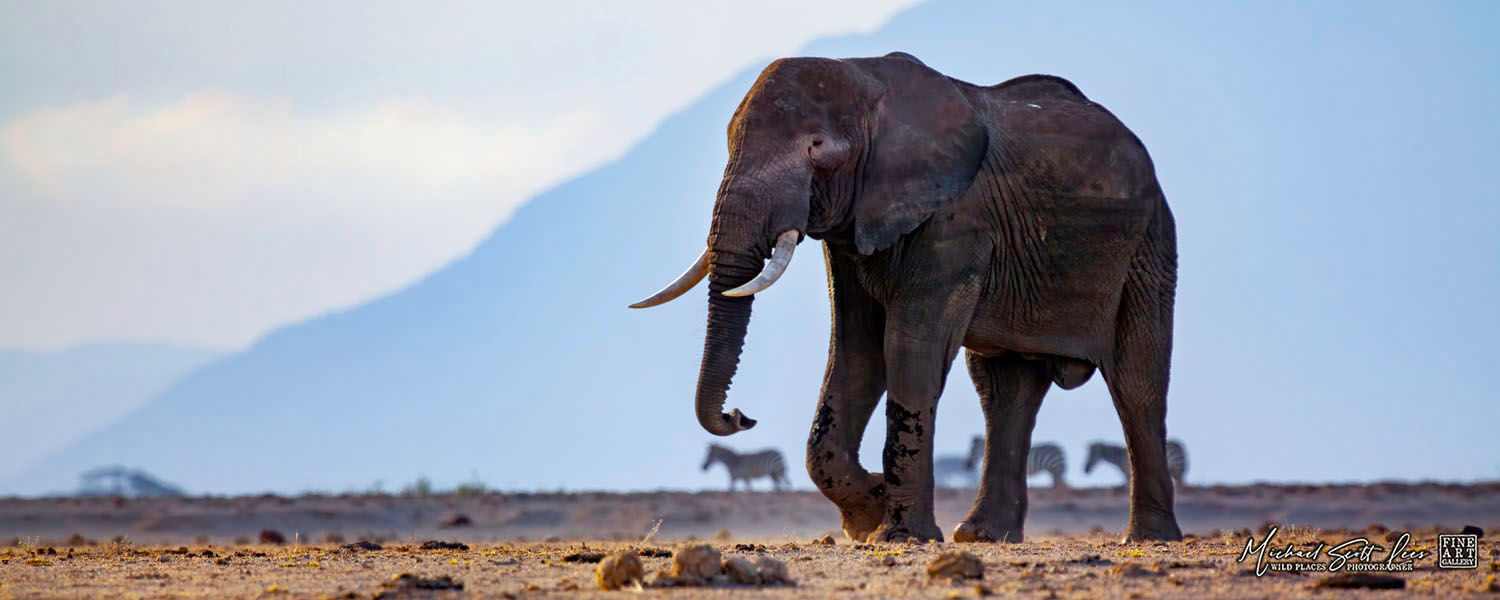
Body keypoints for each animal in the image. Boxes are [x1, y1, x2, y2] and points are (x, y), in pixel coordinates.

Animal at [631, 52, 1181, 544]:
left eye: (817, 147)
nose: (740, 417)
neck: (867, 80)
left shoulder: (957, 219)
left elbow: (908, 351)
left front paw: (900, 535)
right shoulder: (853, 227)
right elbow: (855, 355)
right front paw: (869, 515)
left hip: (1150, 246)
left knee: (1137, 382)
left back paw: (1147, 539)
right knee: (1004, 390)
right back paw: (983, 536)